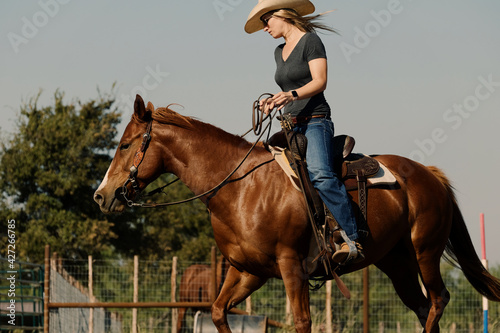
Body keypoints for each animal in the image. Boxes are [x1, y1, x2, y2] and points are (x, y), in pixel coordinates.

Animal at [94, 94, 500, 330]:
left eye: (126, 144)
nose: (101, 196)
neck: (240, 188)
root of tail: (430, 175)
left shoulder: (292, 268)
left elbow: (302, 322)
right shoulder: (247, 271)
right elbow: (219, 311)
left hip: (425, 251)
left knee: (438, 300)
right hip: (397, 262)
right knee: (421, 306)